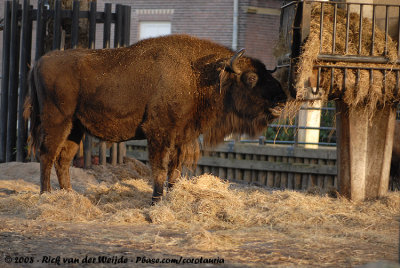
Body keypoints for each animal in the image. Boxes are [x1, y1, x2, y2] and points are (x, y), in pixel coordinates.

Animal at [25, 33, 286, 202]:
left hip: (76, 128)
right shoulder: (160, 132)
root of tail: (39, 61)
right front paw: (156, 200)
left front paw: (172, 196)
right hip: (57, 121)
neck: (197, 75)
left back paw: (68, 195)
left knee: (63, 159)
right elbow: (160, 167)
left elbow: (175, 170)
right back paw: (46, 195)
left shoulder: (181, 137)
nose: (281, 101)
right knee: (47, 154)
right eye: (251, 78)